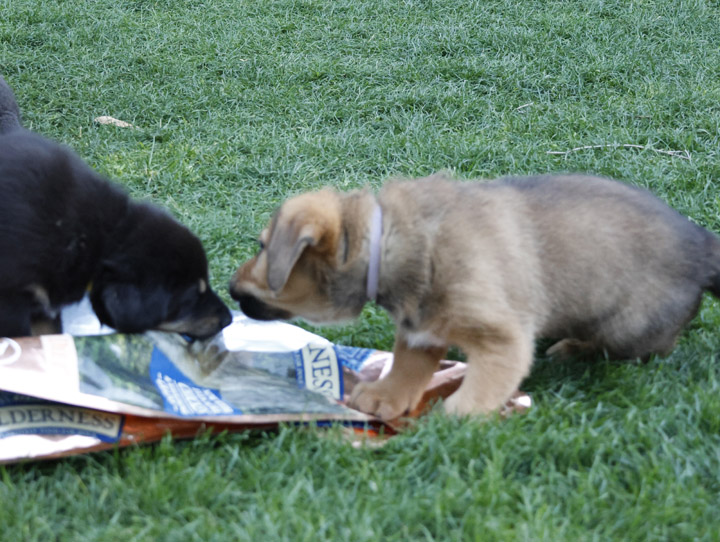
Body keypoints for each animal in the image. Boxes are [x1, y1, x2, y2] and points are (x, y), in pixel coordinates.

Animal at [229, 174, 720, 420]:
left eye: (262, 246)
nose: (230, 292)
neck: (384, 241)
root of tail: (702, 245)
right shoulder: (421, 328)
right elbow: (407, 368)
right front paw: (385, 397)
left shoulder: (502, 338)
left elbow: (484, 383)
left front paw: (457, 415)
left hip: (628, 328)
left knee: (644, 348)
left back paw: (574, 347)